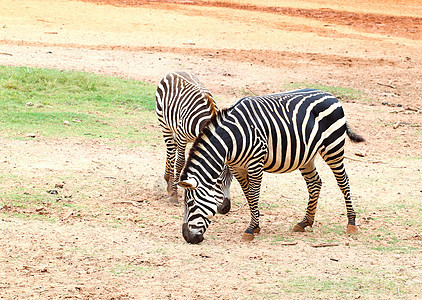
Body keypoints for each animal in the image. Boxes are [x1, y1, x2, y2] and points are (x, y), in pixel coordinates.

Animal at [156, 70, 232, 213]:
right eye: (218, 181)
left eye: (231, 179)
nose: (225, 209)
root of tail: (174, 72)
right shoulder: (182, 137)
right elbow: (180, 163)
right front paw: (174, 194)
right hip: (164, 124)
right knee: (171, 152)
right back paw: (170, 185)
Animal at [176, 88, 364, 244]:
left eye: (190, 204)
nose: (187, 238)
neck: (232, 139)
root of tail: (331, 96)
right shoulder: (237, 167)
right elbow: (248, 195)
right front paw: (256, 225)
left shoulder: (255, 163)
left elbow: (253, 195)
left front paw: (251, 229)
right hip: (306, 155)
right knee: (314, 183)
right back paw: (305, 222)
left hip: (333, 147)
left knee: (343, 181)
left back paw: (351, 223)